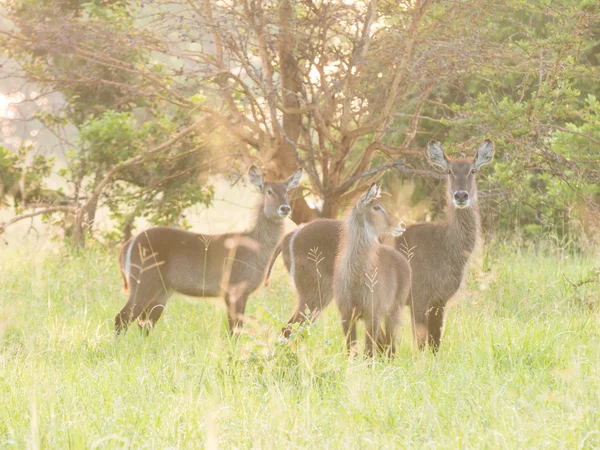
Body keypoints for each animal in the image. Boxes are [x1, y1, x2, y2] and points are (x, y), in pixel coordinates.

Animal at [113, 165, 300, 334]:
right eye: (269, 191)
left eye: (286, 191)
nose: (285, 208)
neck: (255, 246)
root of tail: (126, 246)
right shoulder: (233, 291)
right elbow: (234, 330)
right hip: (143, 283)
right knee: (122, 317)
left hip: (162, 291)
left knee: (144, 323)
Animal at [330, 185, 410, 356]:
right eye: (376, 207)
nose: (402, 224)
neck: (355, 276)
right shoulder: (346, 314)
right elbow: (351, 351)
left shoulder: (372, 315)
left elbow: (367, 353)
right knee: (384, 344)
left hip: (394, 311)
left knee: (390, 345)